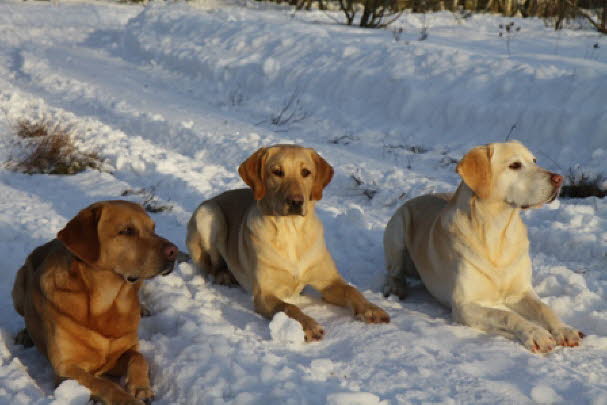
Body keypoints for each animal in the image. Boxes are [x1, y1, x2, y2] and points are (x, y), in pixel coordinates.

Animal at [12, 200, 178, 402]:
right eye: (127, 230)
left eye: (153, 228)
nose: (174, 251)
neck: (106, 307)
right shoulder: (66, 369)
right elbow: (105, 384)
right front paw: (127, 400)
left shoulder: (122, 353)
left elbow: (139, 358)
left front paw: (141, 387)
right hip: (19, 284)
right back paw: (24, 334)